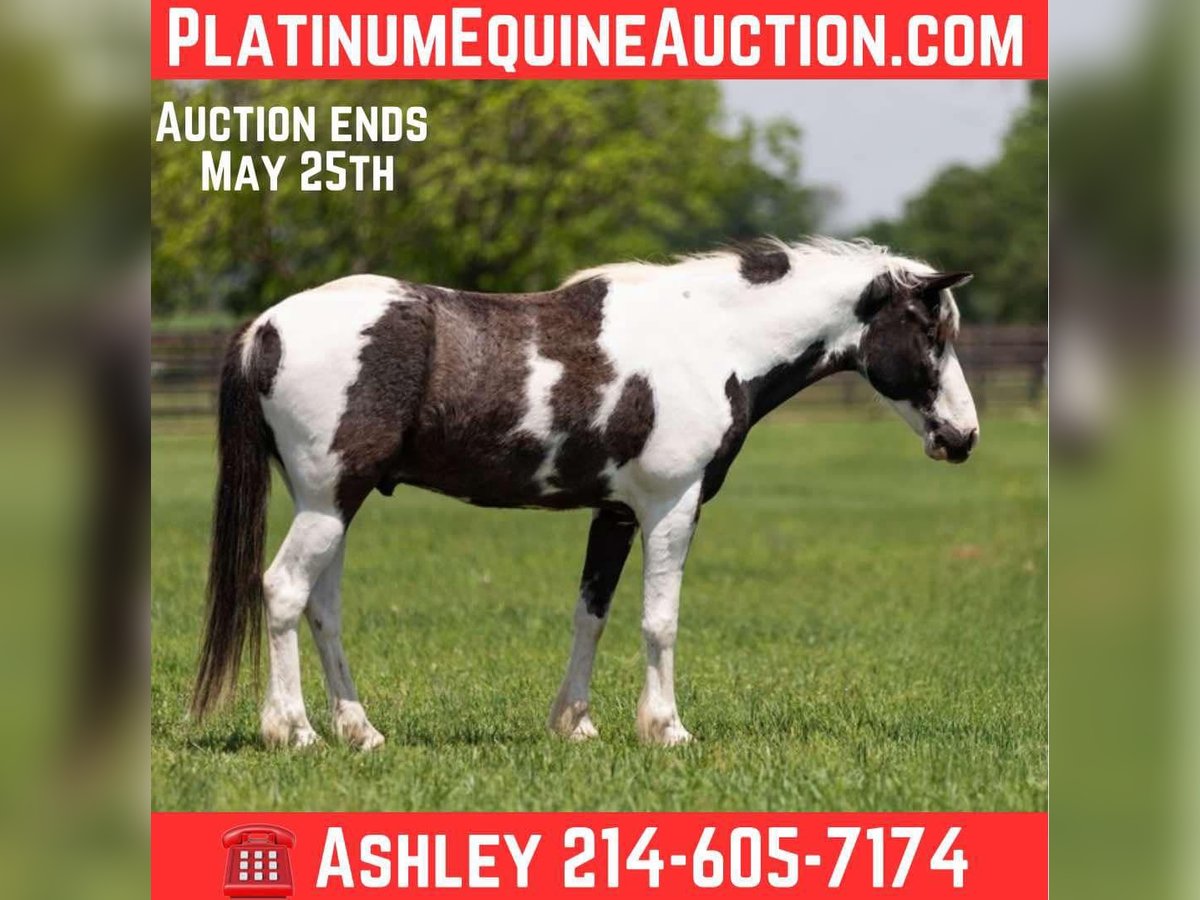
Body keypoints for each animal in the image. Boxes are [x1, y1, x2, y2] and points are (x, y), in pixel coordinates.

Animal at [190, 237, 979, 750]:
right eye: (927, 331)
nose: (964, 437)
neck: (713, 338)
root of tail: (264, 328)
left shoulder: (616, 513)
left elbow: (589, 615)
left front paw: (576, 724)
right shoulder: (671, 507)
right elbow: (660, 621)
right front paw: (666, 729)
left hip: (331, 503)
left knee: (323, 607)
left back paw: (359, 731)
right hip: (328, 502)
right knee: (283, 592)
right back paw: (292, 732)